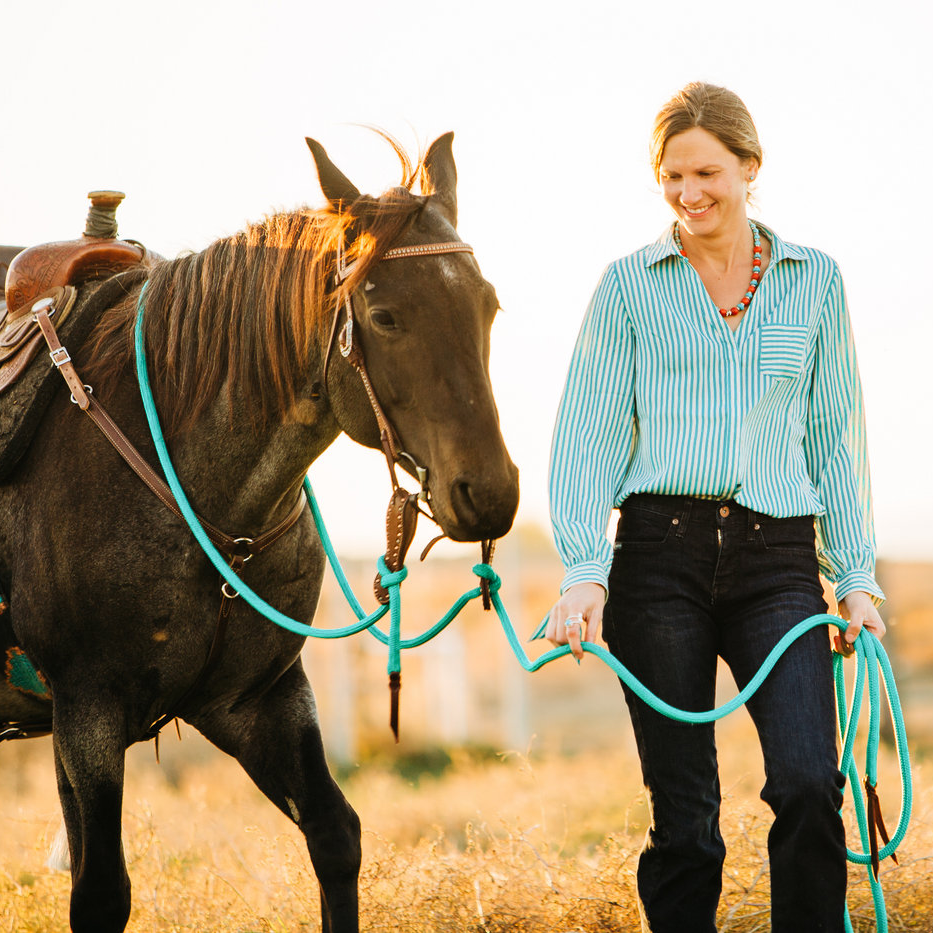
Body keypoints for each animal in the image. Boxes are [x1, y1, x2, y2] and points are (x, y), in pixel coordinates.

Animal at [0, 133, 520, 932]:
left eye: (486, 304)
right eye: (384, 315)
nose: (488, 493)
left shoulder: (258, 698)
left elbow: (335, 836)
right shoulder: (87, 709)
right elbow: (100, 892)